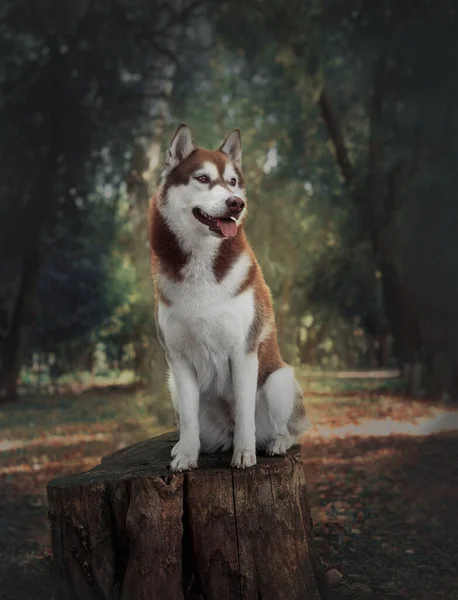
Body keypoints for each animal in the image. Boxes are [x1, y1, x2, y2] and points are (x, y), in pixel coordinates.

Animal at [149, 124, 308, 472]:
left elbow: (245, 411)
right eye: (203, 178)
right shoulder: (177, 359)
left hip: (278, 380)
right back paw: (187, 447)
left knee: (290, 429)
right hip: (173, 385)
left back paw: (276, 443)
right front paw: (185, 456)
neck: (202, 262)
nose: (236, 203)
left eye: (232, 182)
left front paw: (245, 455)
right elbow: (189, 420)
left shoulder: (243, 352)